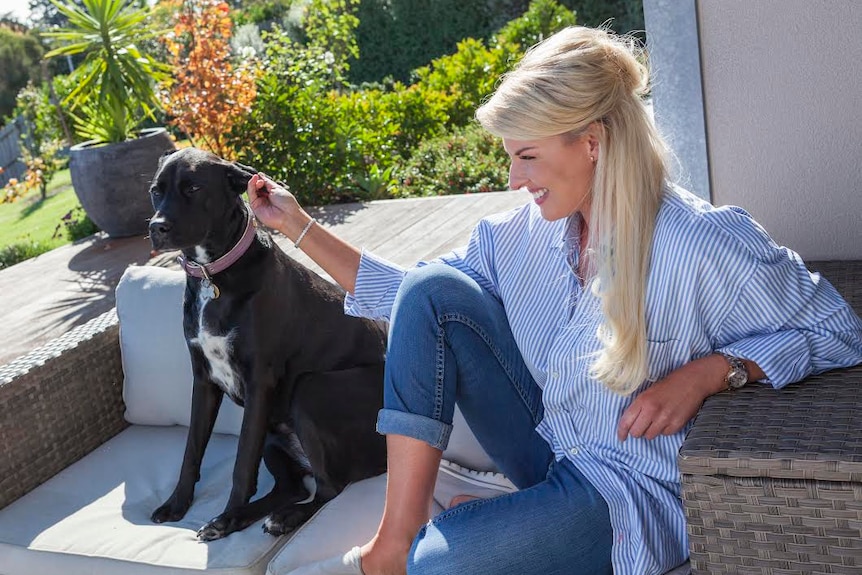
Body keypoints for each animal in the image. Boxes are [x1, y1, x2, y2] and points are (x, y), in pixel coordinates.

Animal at [148, 147, 388, 540]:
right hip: (275, 432)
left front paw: (227, 513)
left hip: (308, 390)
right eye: (156, 191)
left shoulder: (259, 381)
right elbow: (192, 450)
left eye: (194, 188)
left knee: (330, 488)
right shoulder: (204, 380)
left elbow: (242, 463)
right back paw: (251, 516)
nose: (156, 227)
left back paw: (276, 518)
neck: (213, 274)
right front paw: (177, 504)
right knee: (293, 486)